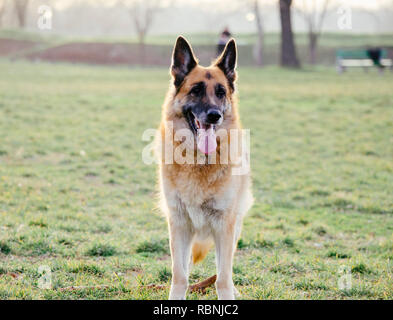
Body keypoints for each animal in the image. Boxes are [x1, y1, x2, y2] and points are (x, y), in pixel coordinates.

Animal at [156, 37, 251, 300]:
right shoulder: (179, 224)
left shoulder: (225, 225)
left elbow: (223, 278)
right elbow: (179, 275)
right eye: (196, 90)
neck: (199, 161)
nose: (214, 115)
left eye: (221, 93)